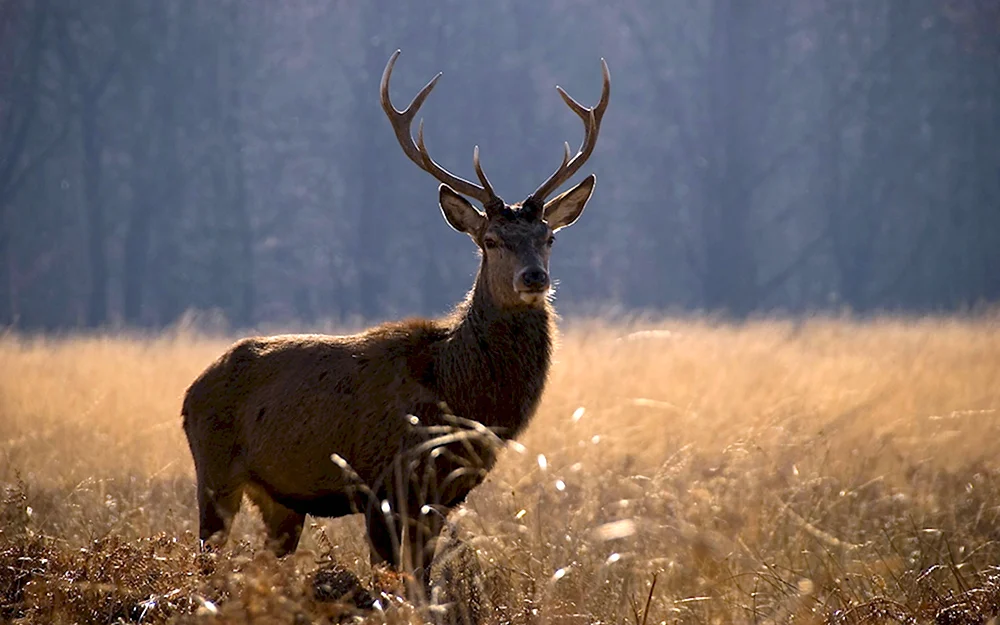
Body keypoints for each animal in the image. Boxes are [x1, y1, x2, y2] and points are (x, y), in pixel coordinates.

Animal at [182, 51, 608, 592]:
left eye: (549, 236)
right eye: (491, 240)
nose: (534, 277)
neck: (455, 393)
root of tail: (190, 392)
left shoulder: (440, 497)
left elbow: (423, 584)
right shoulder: (381, 484)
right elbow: (392, 586)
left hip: (281, 500)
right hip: (214, 473)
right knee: (205, 560)